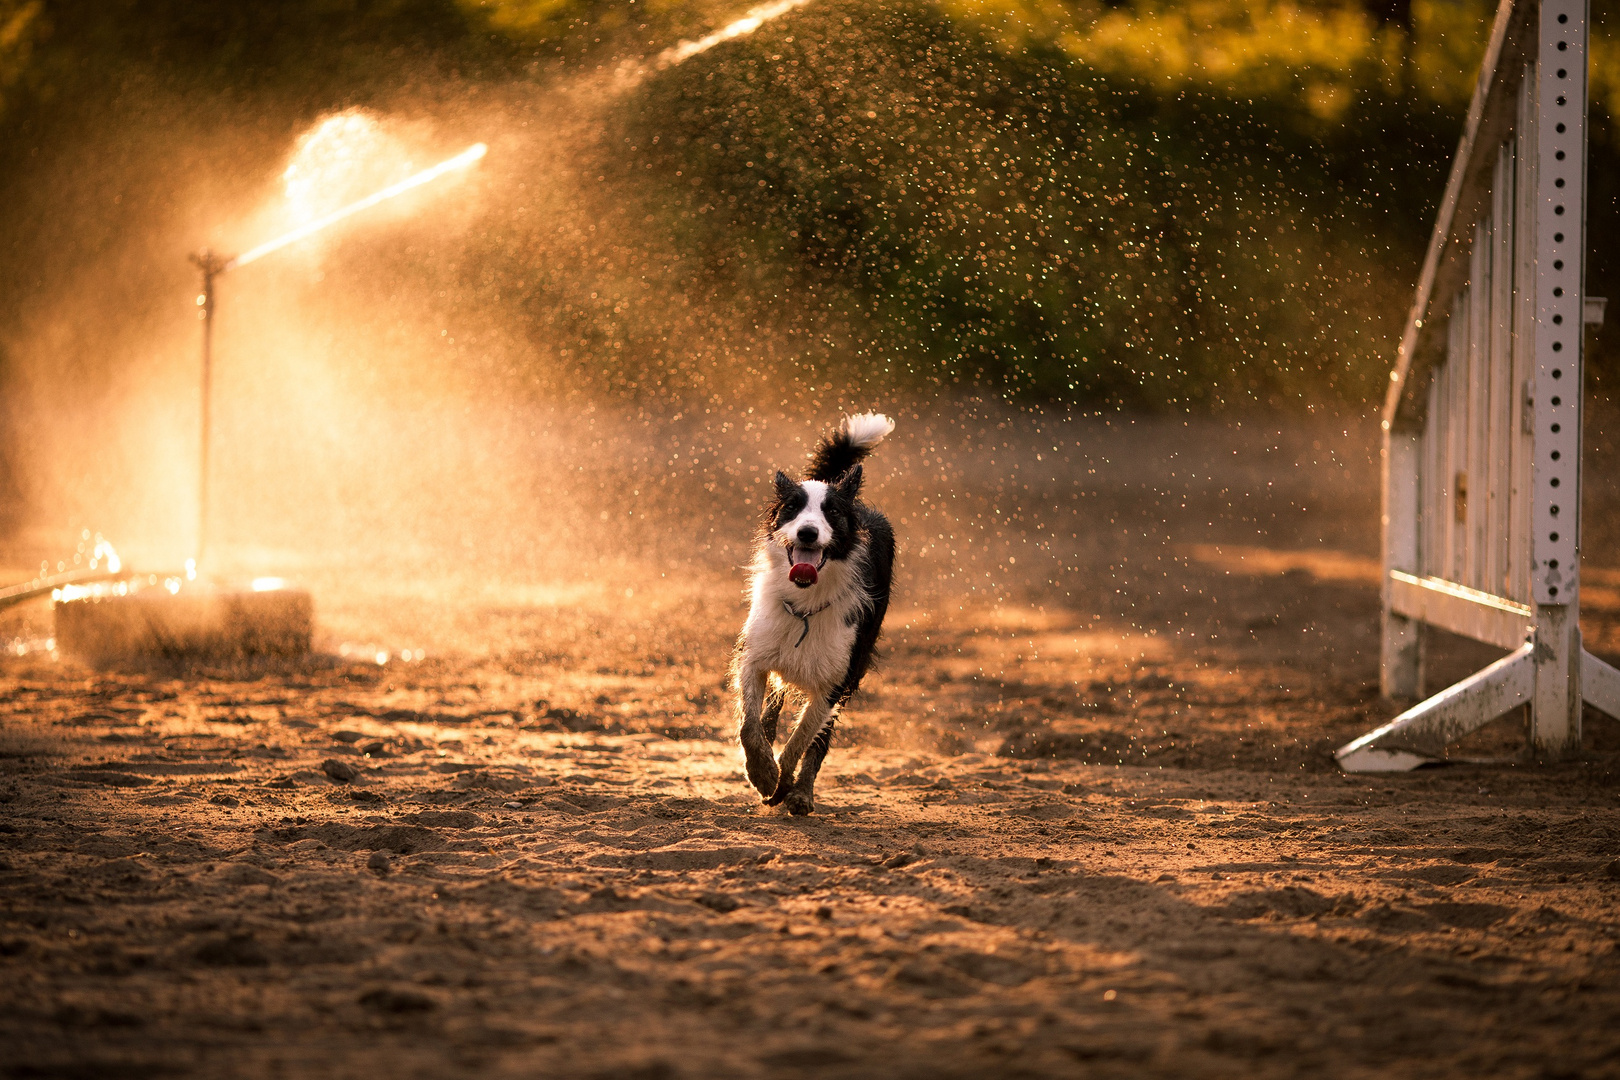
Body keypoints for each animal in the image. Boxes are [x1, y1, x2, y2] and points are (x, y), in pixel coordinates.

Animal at [735, 417, 900, 819]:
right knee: (773, 703)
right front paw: (762, 772)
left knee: (819, 741)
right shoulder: (753, 655)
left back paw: (801, 793)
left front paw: (781, 784)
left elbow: (800, 742)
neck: (805, 604)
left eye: (832, 513)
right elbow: (749, 725)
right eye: (793, 508)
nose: (807, 532)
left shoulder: (834, 684)